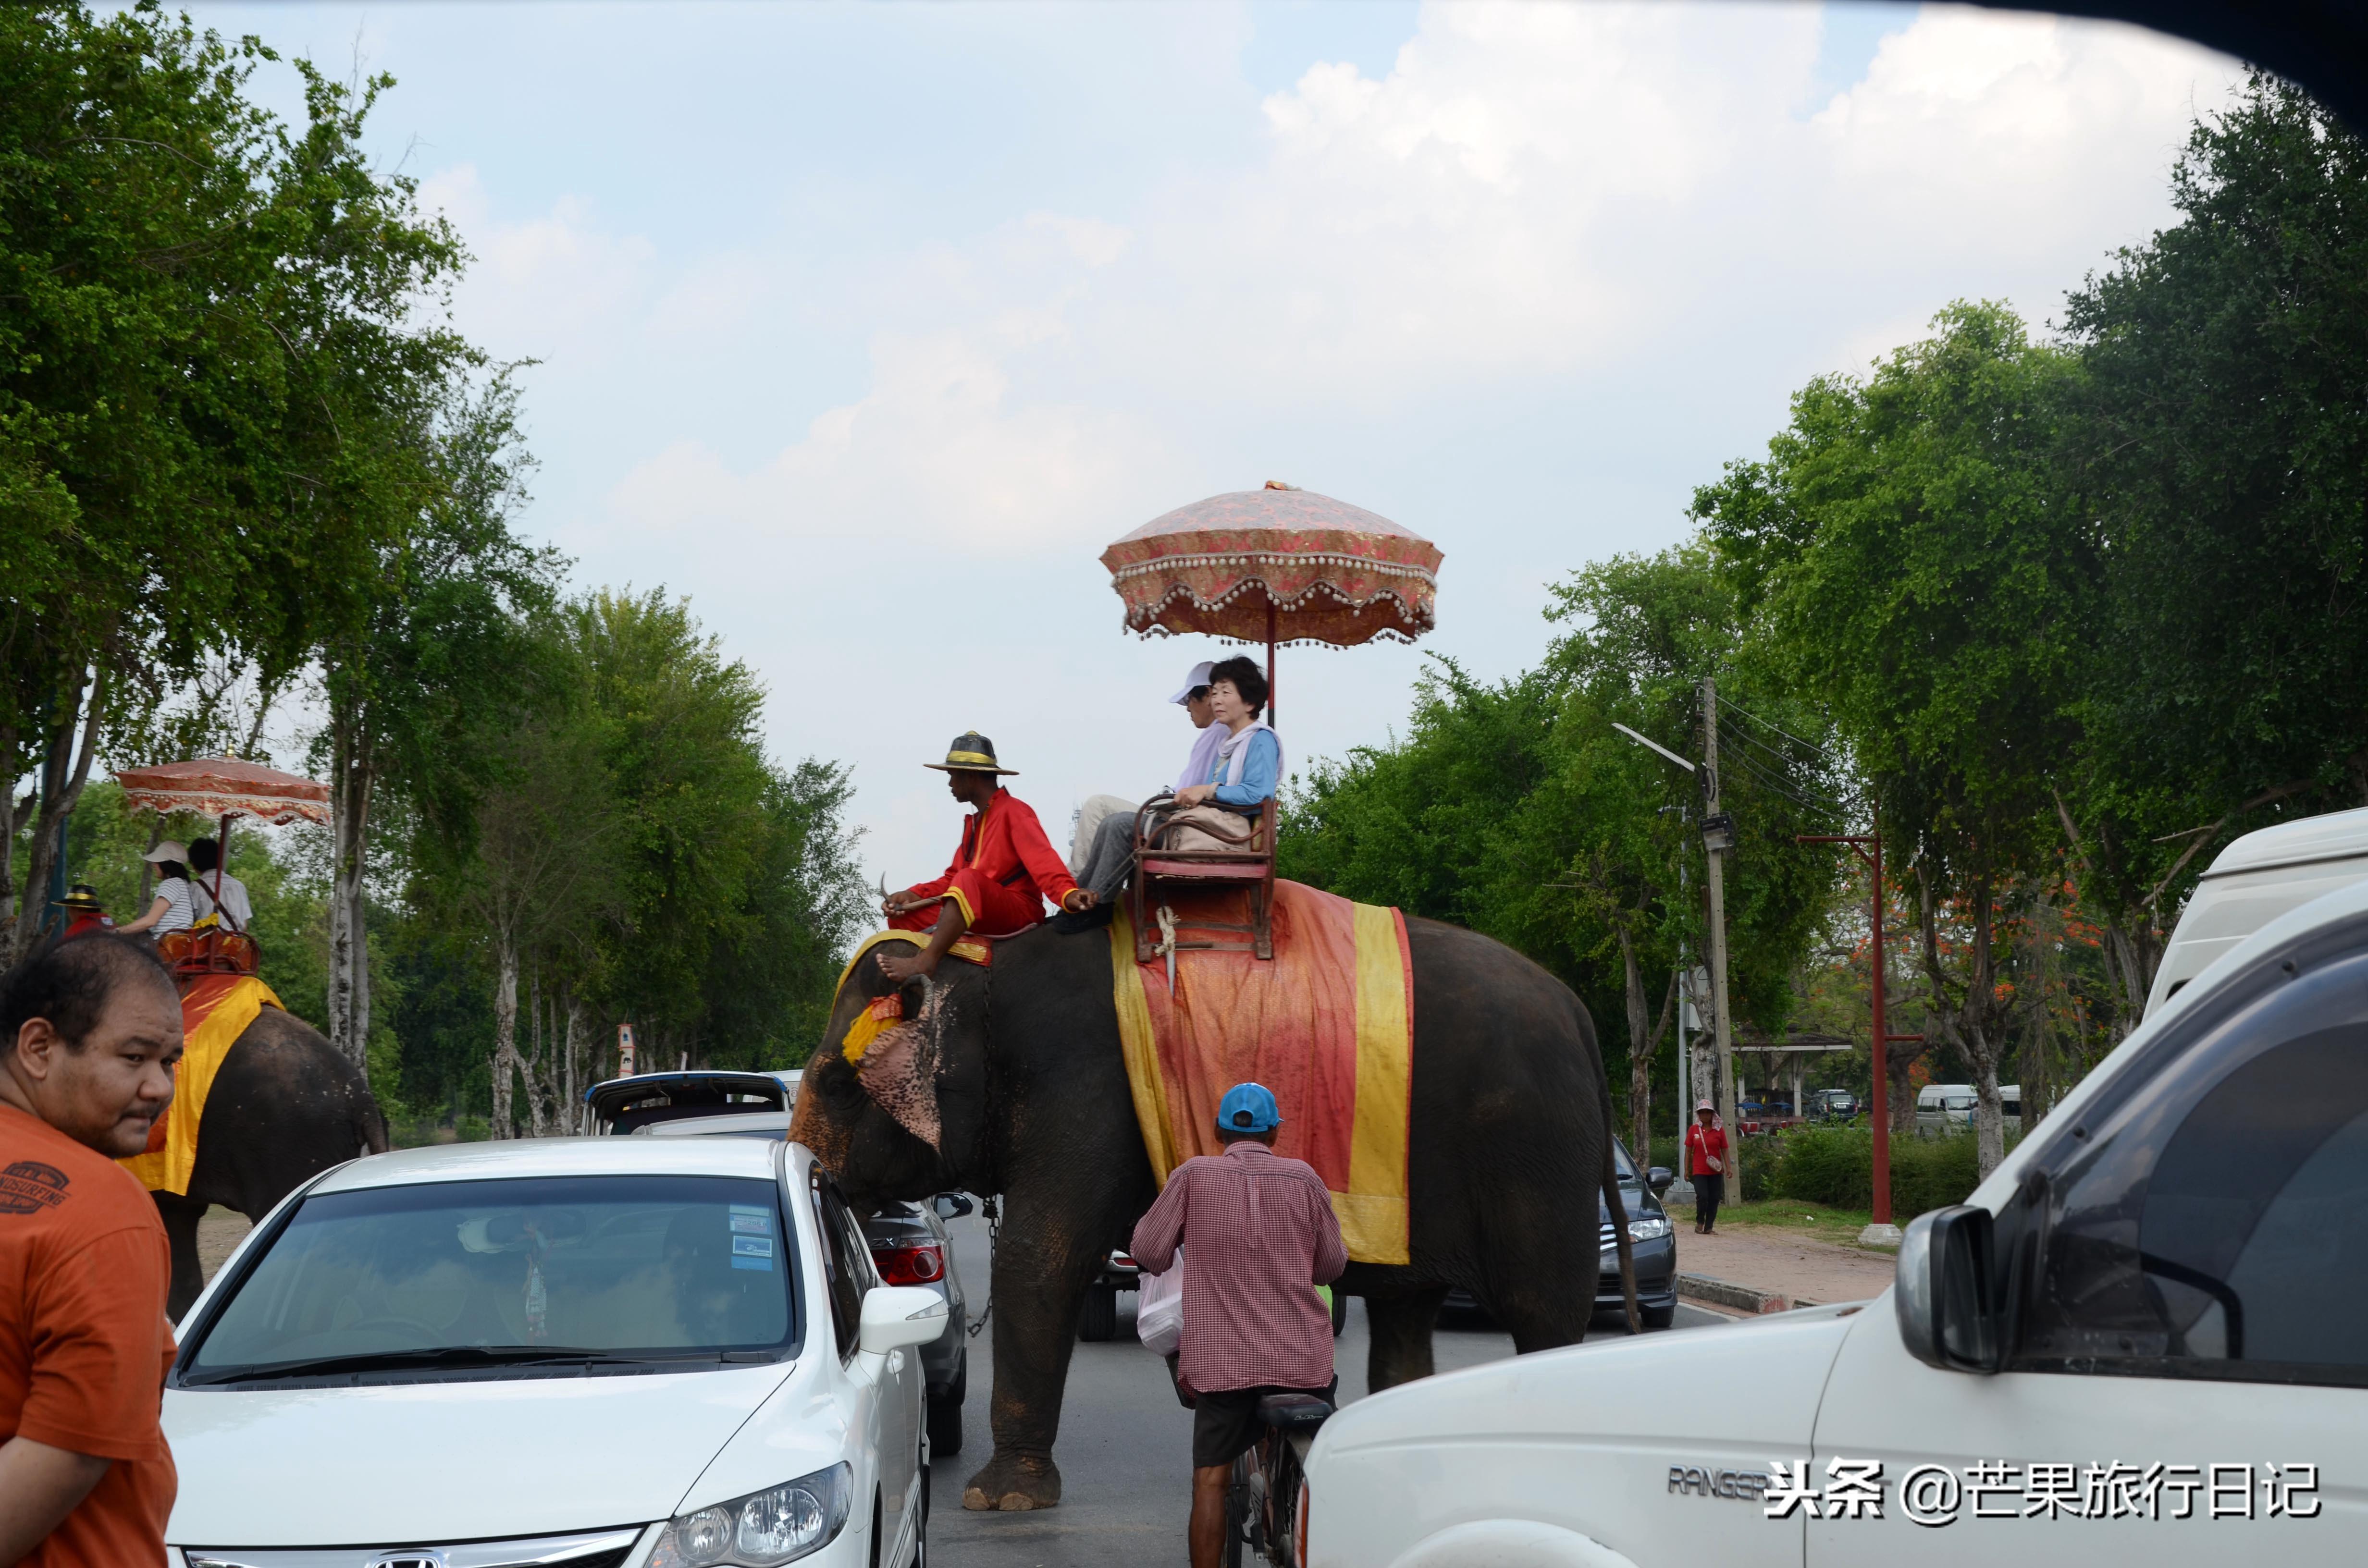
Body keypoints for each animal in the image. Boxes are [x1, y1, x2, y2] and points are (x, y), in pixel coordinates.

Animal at [786, 914, 1639, 1516]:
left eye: (831, 1081)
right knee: (1406, 1313)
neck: (989, 968)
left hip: (1536, 1153)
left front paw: (1003, 1501)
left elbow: (1041, 1255)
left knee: (1544, 1313)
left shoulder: (1083, 1086)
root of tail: (1580, 1015)